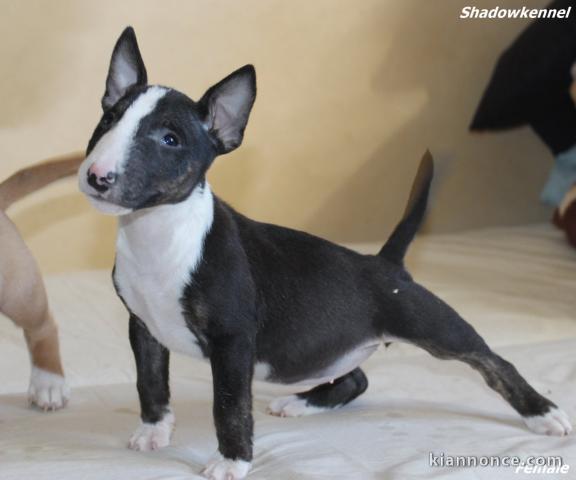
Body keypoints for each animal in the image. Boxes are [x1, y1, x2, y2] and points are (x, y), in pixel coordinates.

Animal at [77, 27, 572, 480]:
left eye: (170, 139)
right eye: (108, 120)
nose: (97, 176)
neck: (159, 233)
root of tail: (385, 263)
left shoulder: (233, 339)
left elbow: (230, 404)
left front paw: (232, 461)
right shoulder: (143, 326)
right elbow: (150, 382)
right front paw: (154, 432)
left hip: (432, 324)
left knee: (492, 361)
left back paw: (543, 412)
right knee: (357, 377)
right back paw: (301, 402)